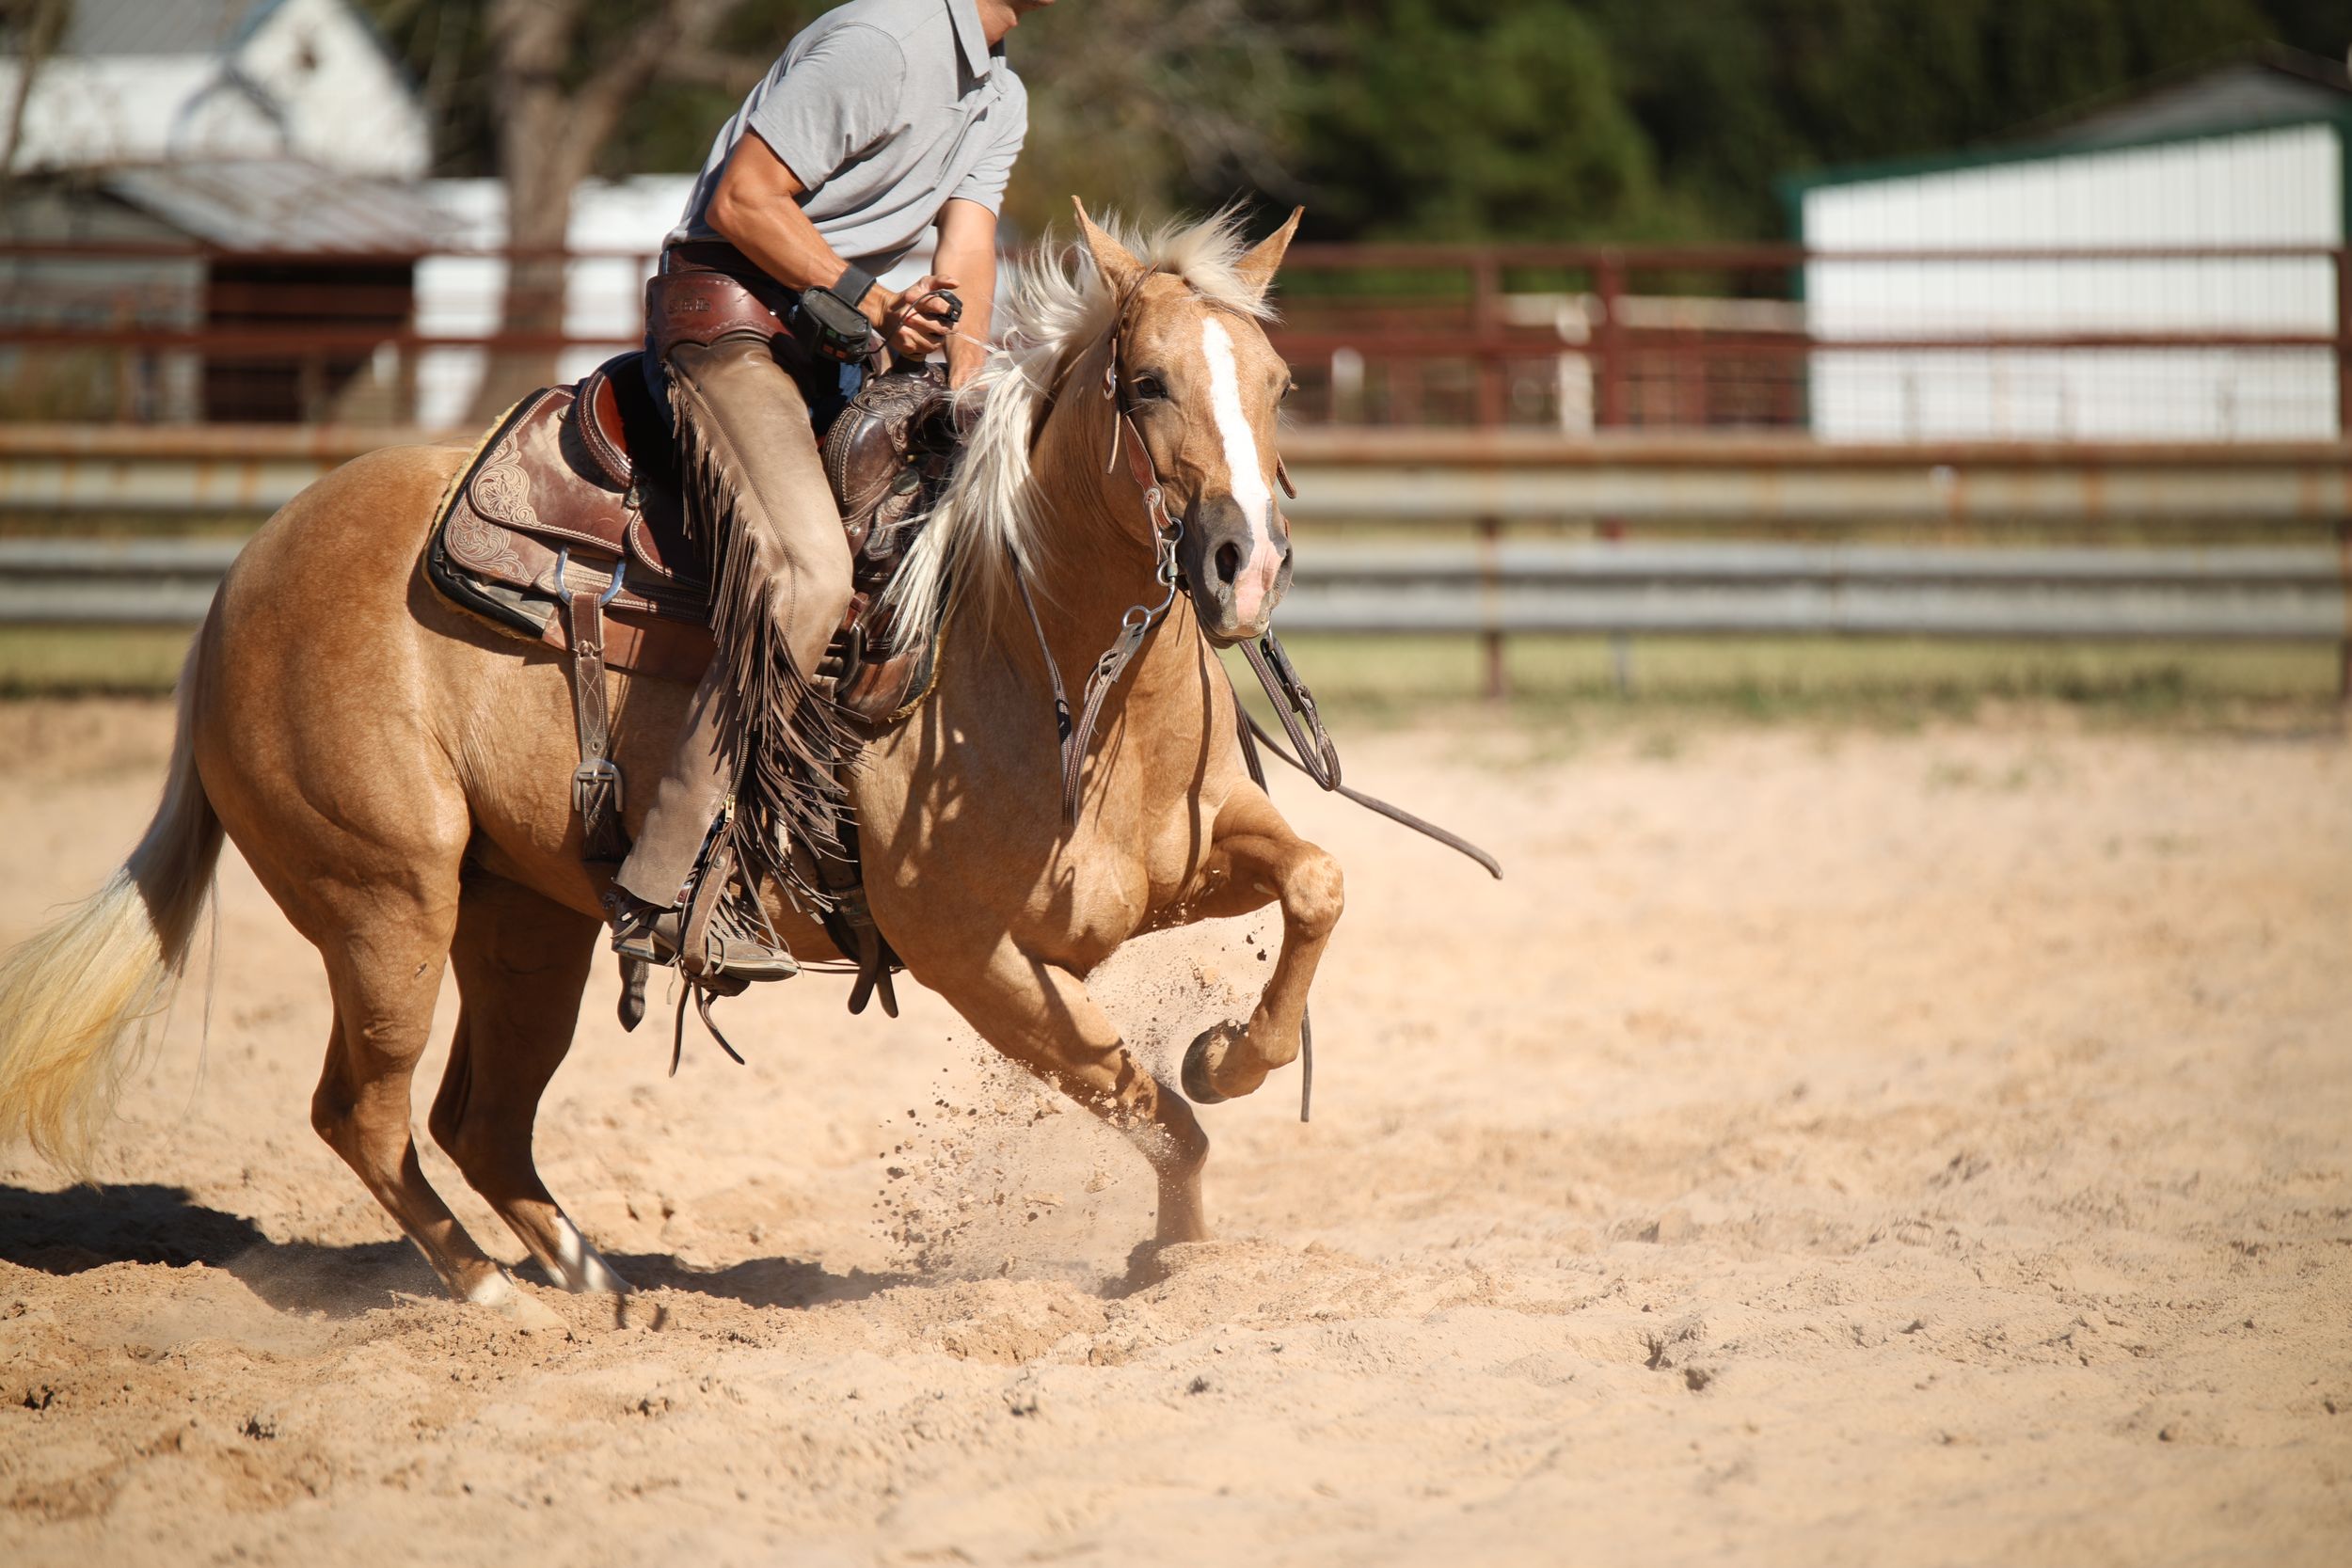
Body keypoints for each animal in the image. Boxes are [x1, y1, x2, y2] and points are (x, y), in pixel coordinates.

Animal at [0, 204, 1342, 1311]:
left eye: (1278, 381)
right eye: (1149, 382)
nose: (1247, 565)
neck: (1026, 643)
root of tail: (239, 580)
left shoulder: (1186, 863)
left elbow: (1311, 895)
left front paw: (1229, 1067)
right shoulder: (976, 958)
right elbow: (1141, 1101)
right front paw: (1173, 1233)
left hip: (521, 921)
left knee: (480, 1122)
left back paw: (602, 1282)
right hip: (384, 903)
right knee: (365, 1115)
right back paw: (492, 1297)